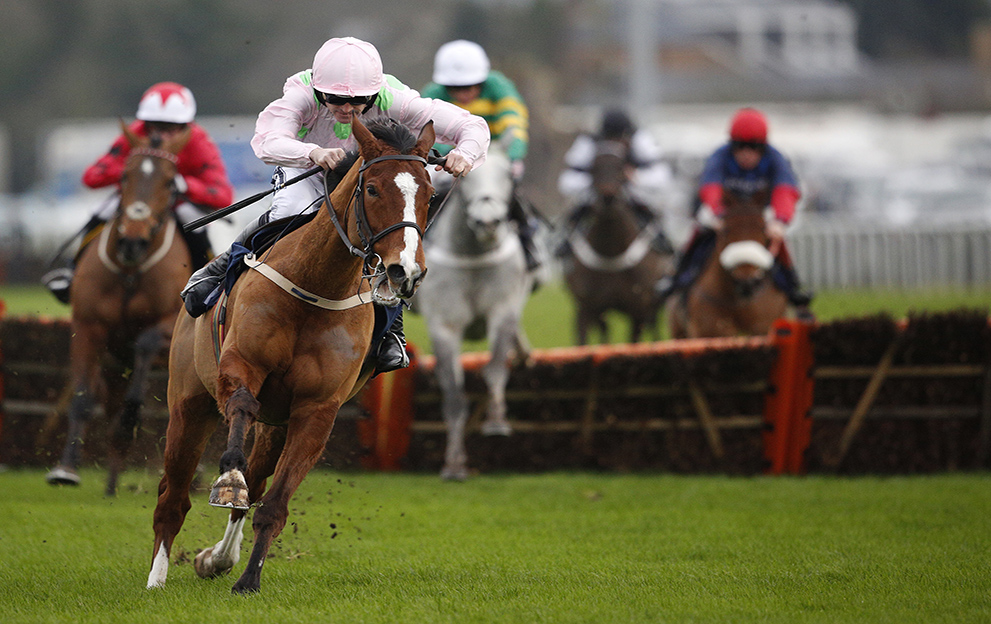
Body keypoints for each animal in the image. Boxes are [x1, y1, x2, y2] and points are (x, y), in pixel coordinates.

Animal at [45, 122, 193, 494]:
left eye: (171, 181)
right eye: (125, 175)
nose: (132, 240)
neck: (131, 270)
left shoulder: (168, 324)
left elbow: (146, 346)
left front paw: (129, 423)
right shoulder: (88, 327)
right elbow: (83, 398)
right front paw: (66, 469)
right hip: (114, 359)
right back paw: (111, 482)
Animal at [148, 118, 438, 596]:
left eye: (429, 193)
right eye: (372, 188)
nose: (405, 271)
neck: (316, 286)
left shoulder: (316, 410)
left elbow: (273, 504)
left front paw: (247, 579)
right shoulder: (241, 367)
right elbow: (241, 409)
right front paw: (227, 481)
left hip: (276, 424)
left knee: (255, 483)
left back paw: (217, 558)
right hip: (189, 406)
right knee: (172, 497)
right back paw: (157, 577)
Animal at [412, 144, 532, 480]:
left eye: (508, 175)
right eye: (467, 179)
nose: (488, 222)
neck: (473, 253)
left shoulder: (502, 310)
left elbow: (495, 368)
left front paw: (496, 420)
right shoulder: (443, 325)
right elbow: (453, 396)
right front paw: (454, 464)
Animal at [564, 144, 676, 344]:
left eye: (621, 168)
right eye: (593, 169)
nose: (608, 197)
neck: (611, 251)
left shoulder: (638, 310)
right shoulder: (587, 307)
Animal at [672, 190, 788, 338]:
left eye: (763, 229)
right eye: (726, 230)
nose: (746, 283)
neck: (737, 302)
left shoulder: (762, 326)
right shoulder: (712, 331)